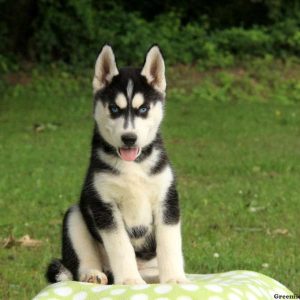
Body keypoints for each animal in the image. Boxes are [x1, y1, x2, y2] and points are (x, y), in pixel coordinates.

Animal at [46, 45, 188, 286]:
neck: (134, 166)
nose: (129, 138)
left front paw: (174, 279)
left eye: (143, 109)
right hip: (75, 216)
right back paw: (93, 274)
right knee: (81, 262)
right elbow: (121, 247)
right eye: (114, 108)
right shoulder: (104, 205)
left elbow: (169, 244)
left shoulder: (167, 200)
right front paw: (130, 280)